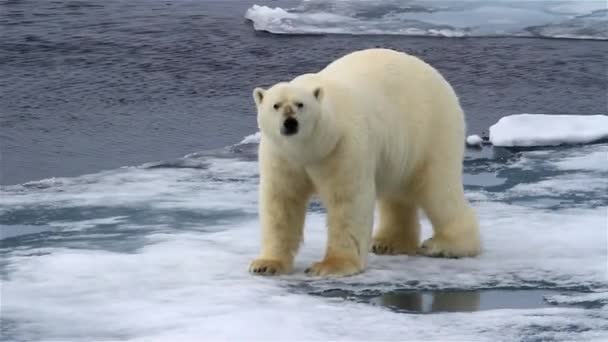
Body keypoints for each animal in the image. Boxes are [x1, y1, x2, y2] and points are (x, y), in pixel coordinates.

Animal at [247, 48, 480, 278]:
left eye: (300, 105)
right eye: (276, 105)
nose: (290, 123)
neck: (312, 148)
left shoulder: (344, 147)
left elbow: (348, 201)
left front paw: (331, 265)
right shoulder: (281, 156)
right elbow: (281, 203)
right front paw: (266, 264)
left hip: (431, 131)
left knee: (438, 189)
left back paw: (444, 245)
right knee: (398, 193)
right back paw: (388, 243)